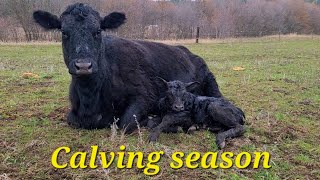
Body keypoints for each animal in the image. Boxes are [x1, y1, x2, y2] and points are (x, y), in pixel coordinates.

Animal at [33, 3, 222, 134]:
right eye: (64, 32)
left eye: (98, 31)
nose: (84, 66)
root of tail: (185, 50)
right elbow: (71, 119)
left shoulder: (145, 96)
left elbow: (125, 123)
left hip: (211, 81)